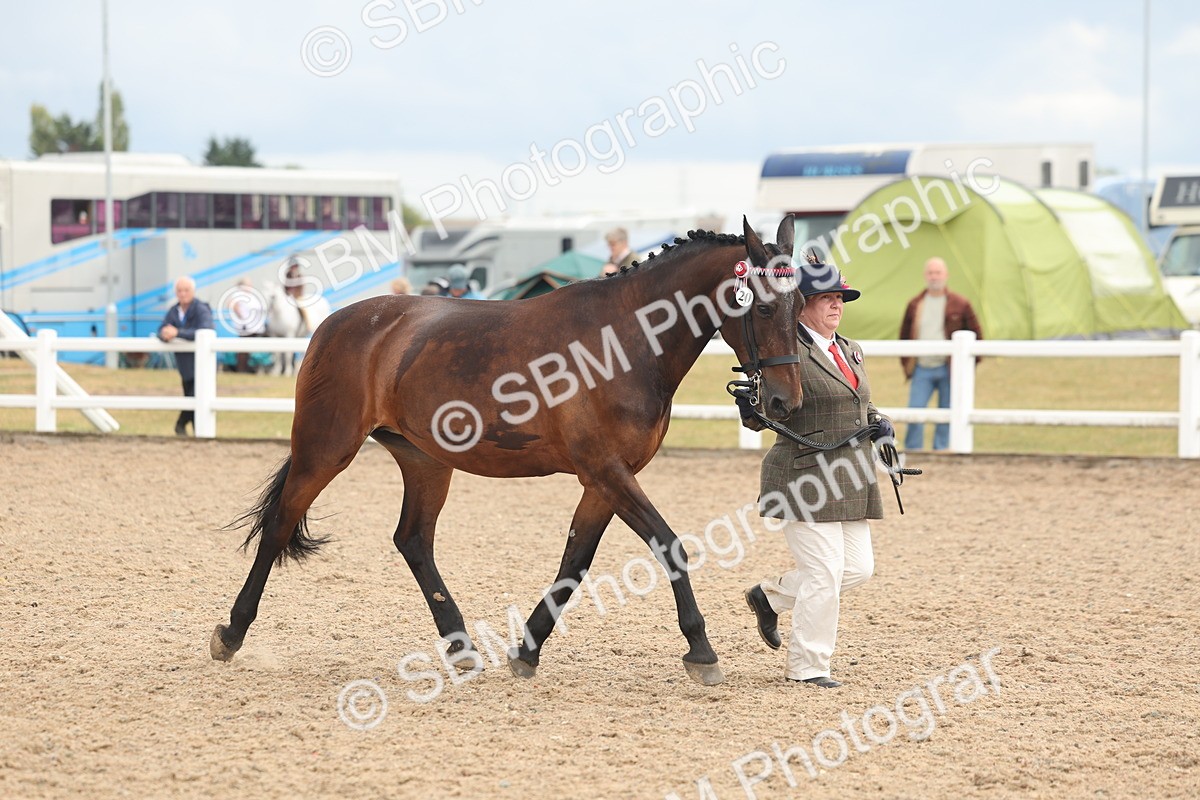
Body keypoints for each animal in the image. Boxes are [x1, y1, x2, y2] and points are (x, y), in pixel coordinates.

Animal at [211, 216, 805, 687]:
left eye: (799, 303)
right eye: (763, 308)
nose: (785, 401)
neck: (626, 343)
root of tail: (332, 323)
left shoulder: (604, 479)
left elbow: (575, 561)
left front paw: (528, 649)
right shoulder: (608, 472)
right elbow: (669, 545)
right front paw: (701, 649)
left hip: (425, 461)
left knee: (413, 540)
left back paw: (460, 645)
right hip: (326, 448)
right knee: (281, 523)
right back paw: (232, 632)